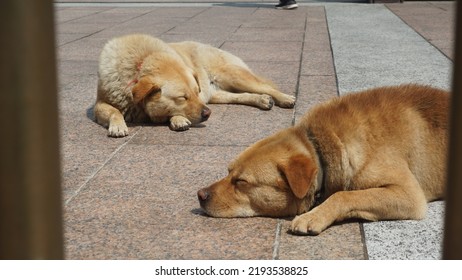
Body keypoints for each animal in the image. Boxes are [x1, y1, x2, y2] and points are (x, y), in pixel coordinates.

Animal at [95, 34, 294, 137]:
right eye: (183, 97)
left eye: (196, 92)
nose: (208, 114)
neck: (140, 61)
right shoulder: (100, 104)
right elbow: (114, 111)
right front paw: (118, 125)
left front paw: (178, 119)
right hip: (217, 95)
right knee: (241, 96)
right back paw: (262, 100)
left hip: (232, 75)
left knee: (266, 87)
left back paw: (285, 98)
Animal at [198, 84, 448, 235]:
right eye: (228, 171)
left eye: (241, 182)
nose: (200, 195)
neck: (321, 146)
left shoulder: (409, 194)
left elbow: (344, 195)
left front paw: (314, 215)